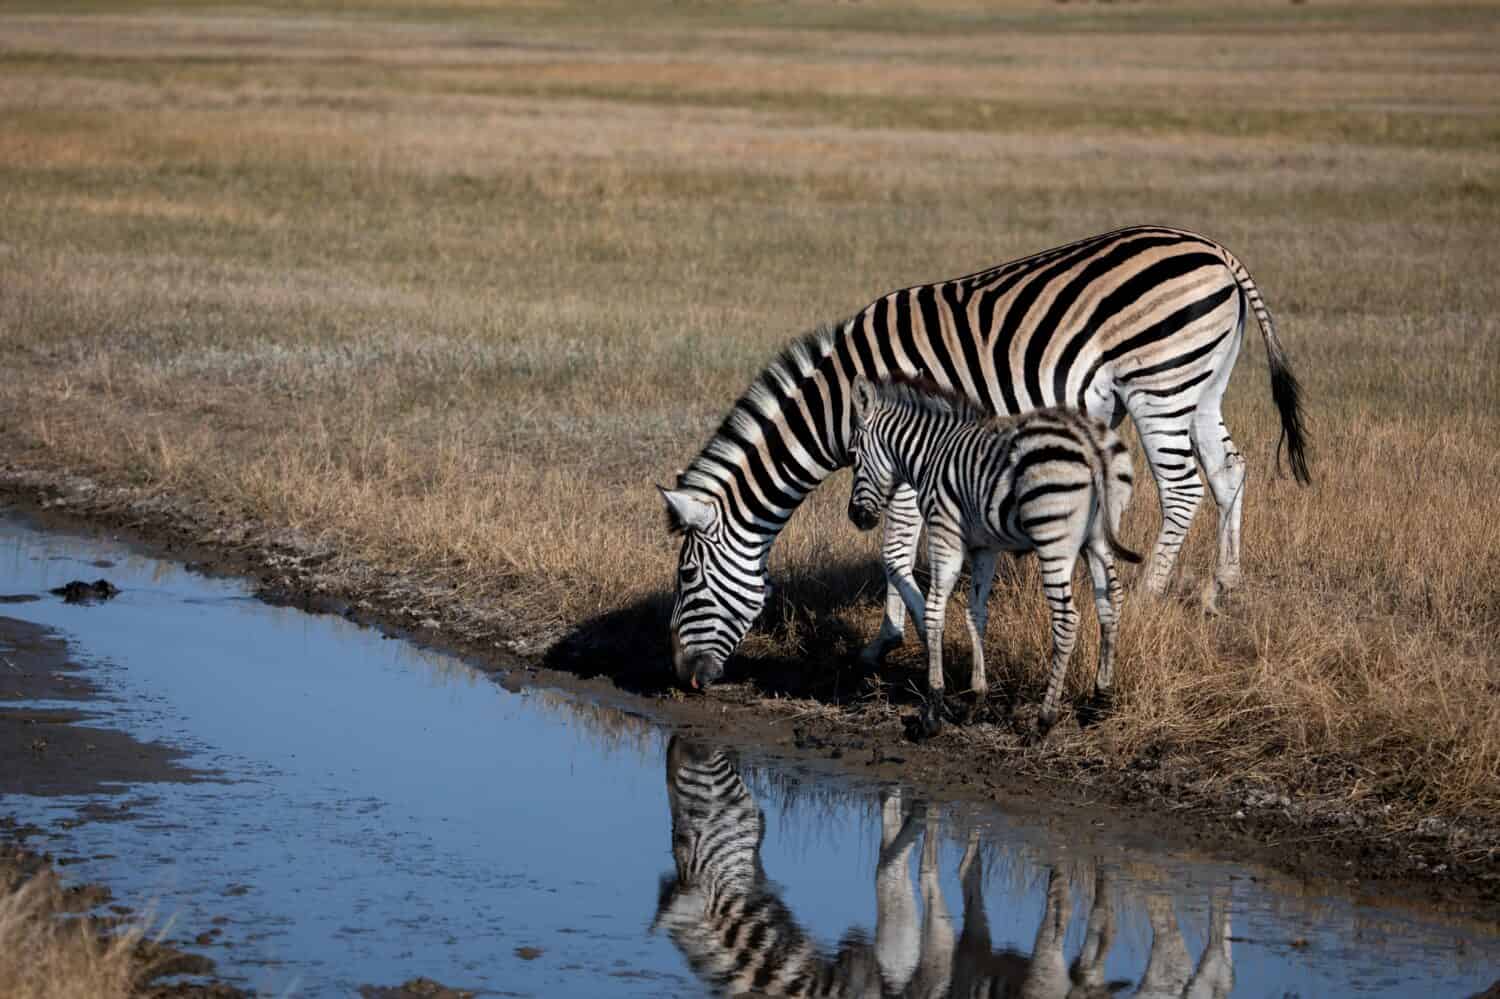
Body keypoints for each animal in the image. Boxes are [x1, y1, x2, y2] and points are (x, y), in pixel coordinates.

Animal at [663, 223, 1308, 693]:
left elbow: (896, 548)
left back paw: (1150, 594)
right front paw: (894, 635)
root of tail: (1217, 252)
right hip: (1203, 384)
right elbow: (900, 549)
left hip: (1160, 383)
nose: (682, 676)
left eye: (688, 576)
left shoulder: (902, 449)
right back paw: (1220, 590)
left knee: (1183, 488)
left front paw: (914, 635)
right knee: (1229, 472)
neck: (842, 401)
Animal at [846, 373, 1134, 732]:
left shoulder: (944, 532)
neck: (931, 453)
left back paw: (1044, 718)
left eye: (853, 456)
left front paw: (932, 709)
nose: (855, 517)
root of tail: (1091, 446)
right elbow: (976, 614)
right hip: (1096, 540)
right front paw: (977, 699)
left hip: (1053, 538)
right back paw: (1099, 700)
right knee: (1111, 601)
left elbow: (934, 611)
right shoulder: (985, 546)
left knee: (1067, 619)